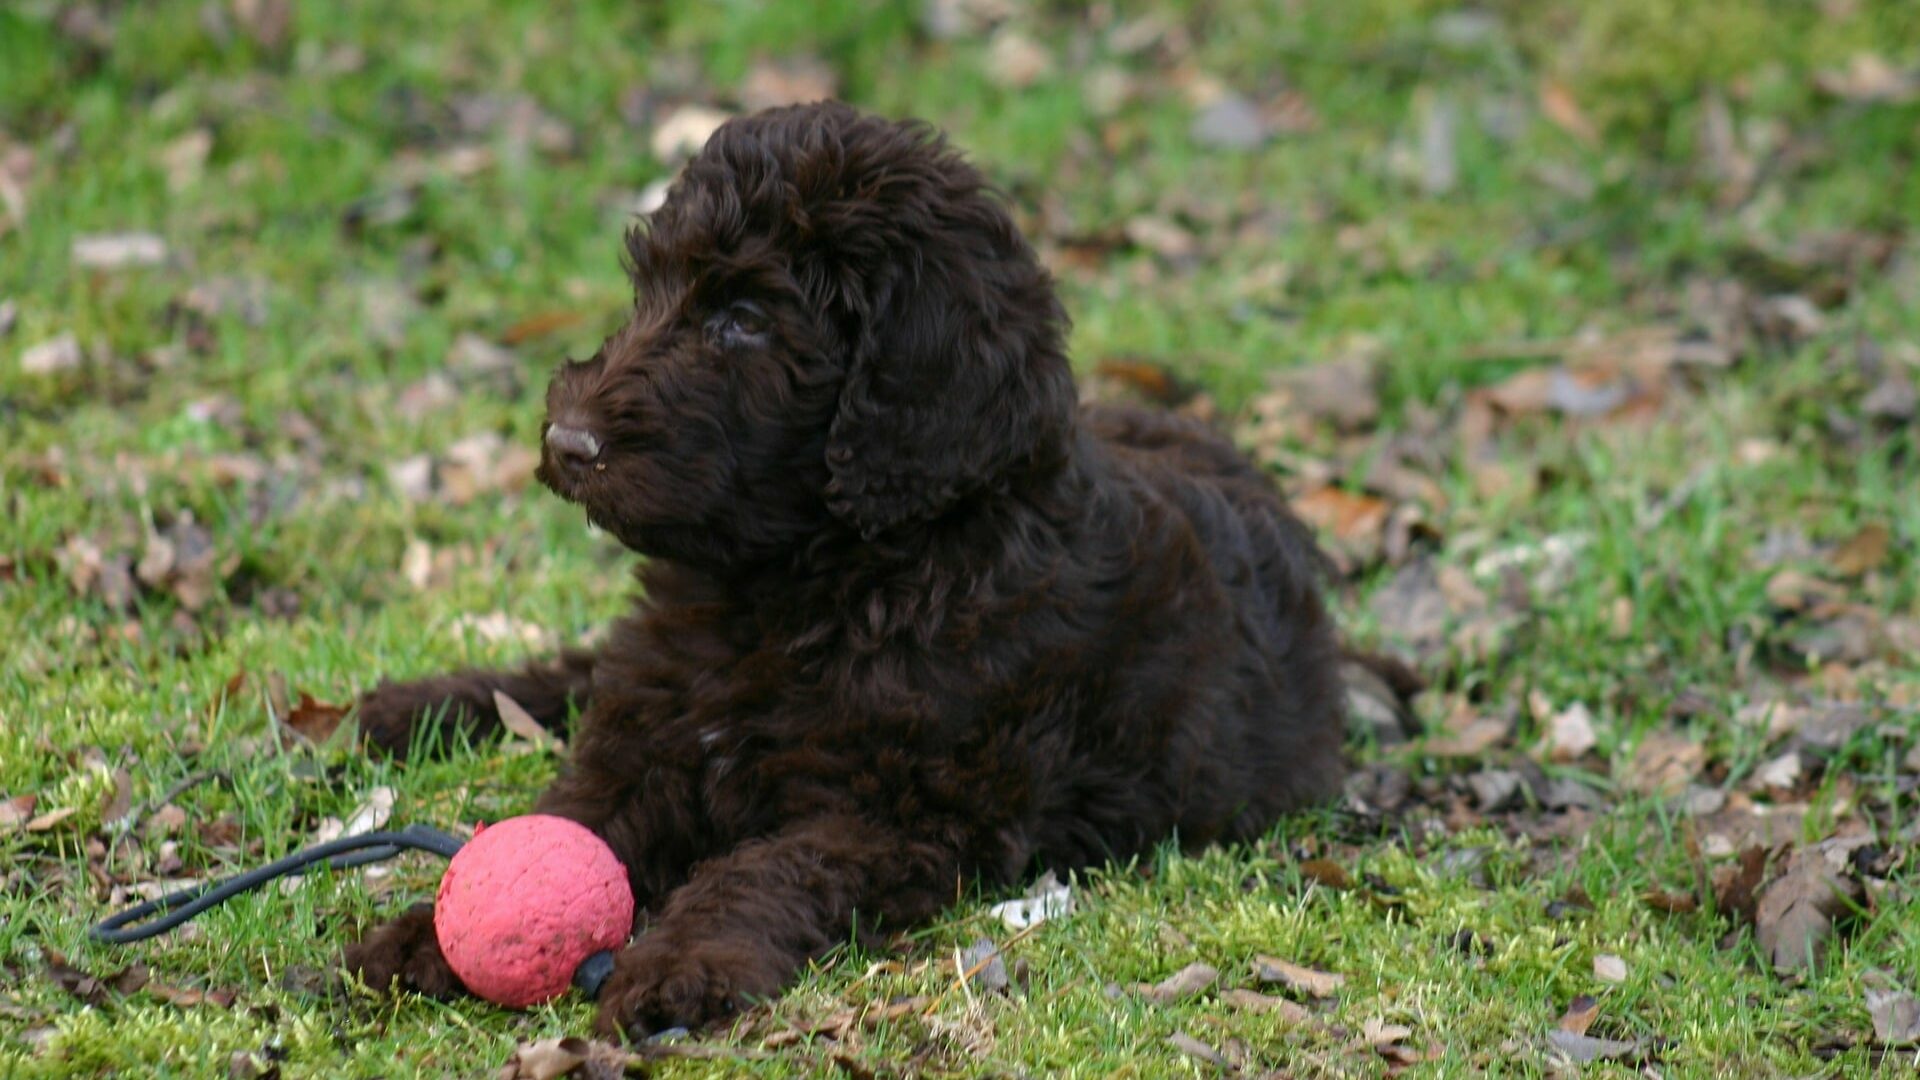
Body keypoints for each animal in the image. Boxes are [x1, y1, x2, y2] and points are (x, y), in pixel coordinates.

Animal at [345, 100, 1344, 1037]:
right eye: (649, 291)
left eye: (745, 320)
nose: (567, 440)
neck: (813, 580)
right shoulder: (653, 739)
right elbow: (565, 823)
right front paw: (428, 935)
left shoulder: (903, 814)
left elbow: (769, 865)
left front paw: (682, 964)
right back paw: (405, 708)